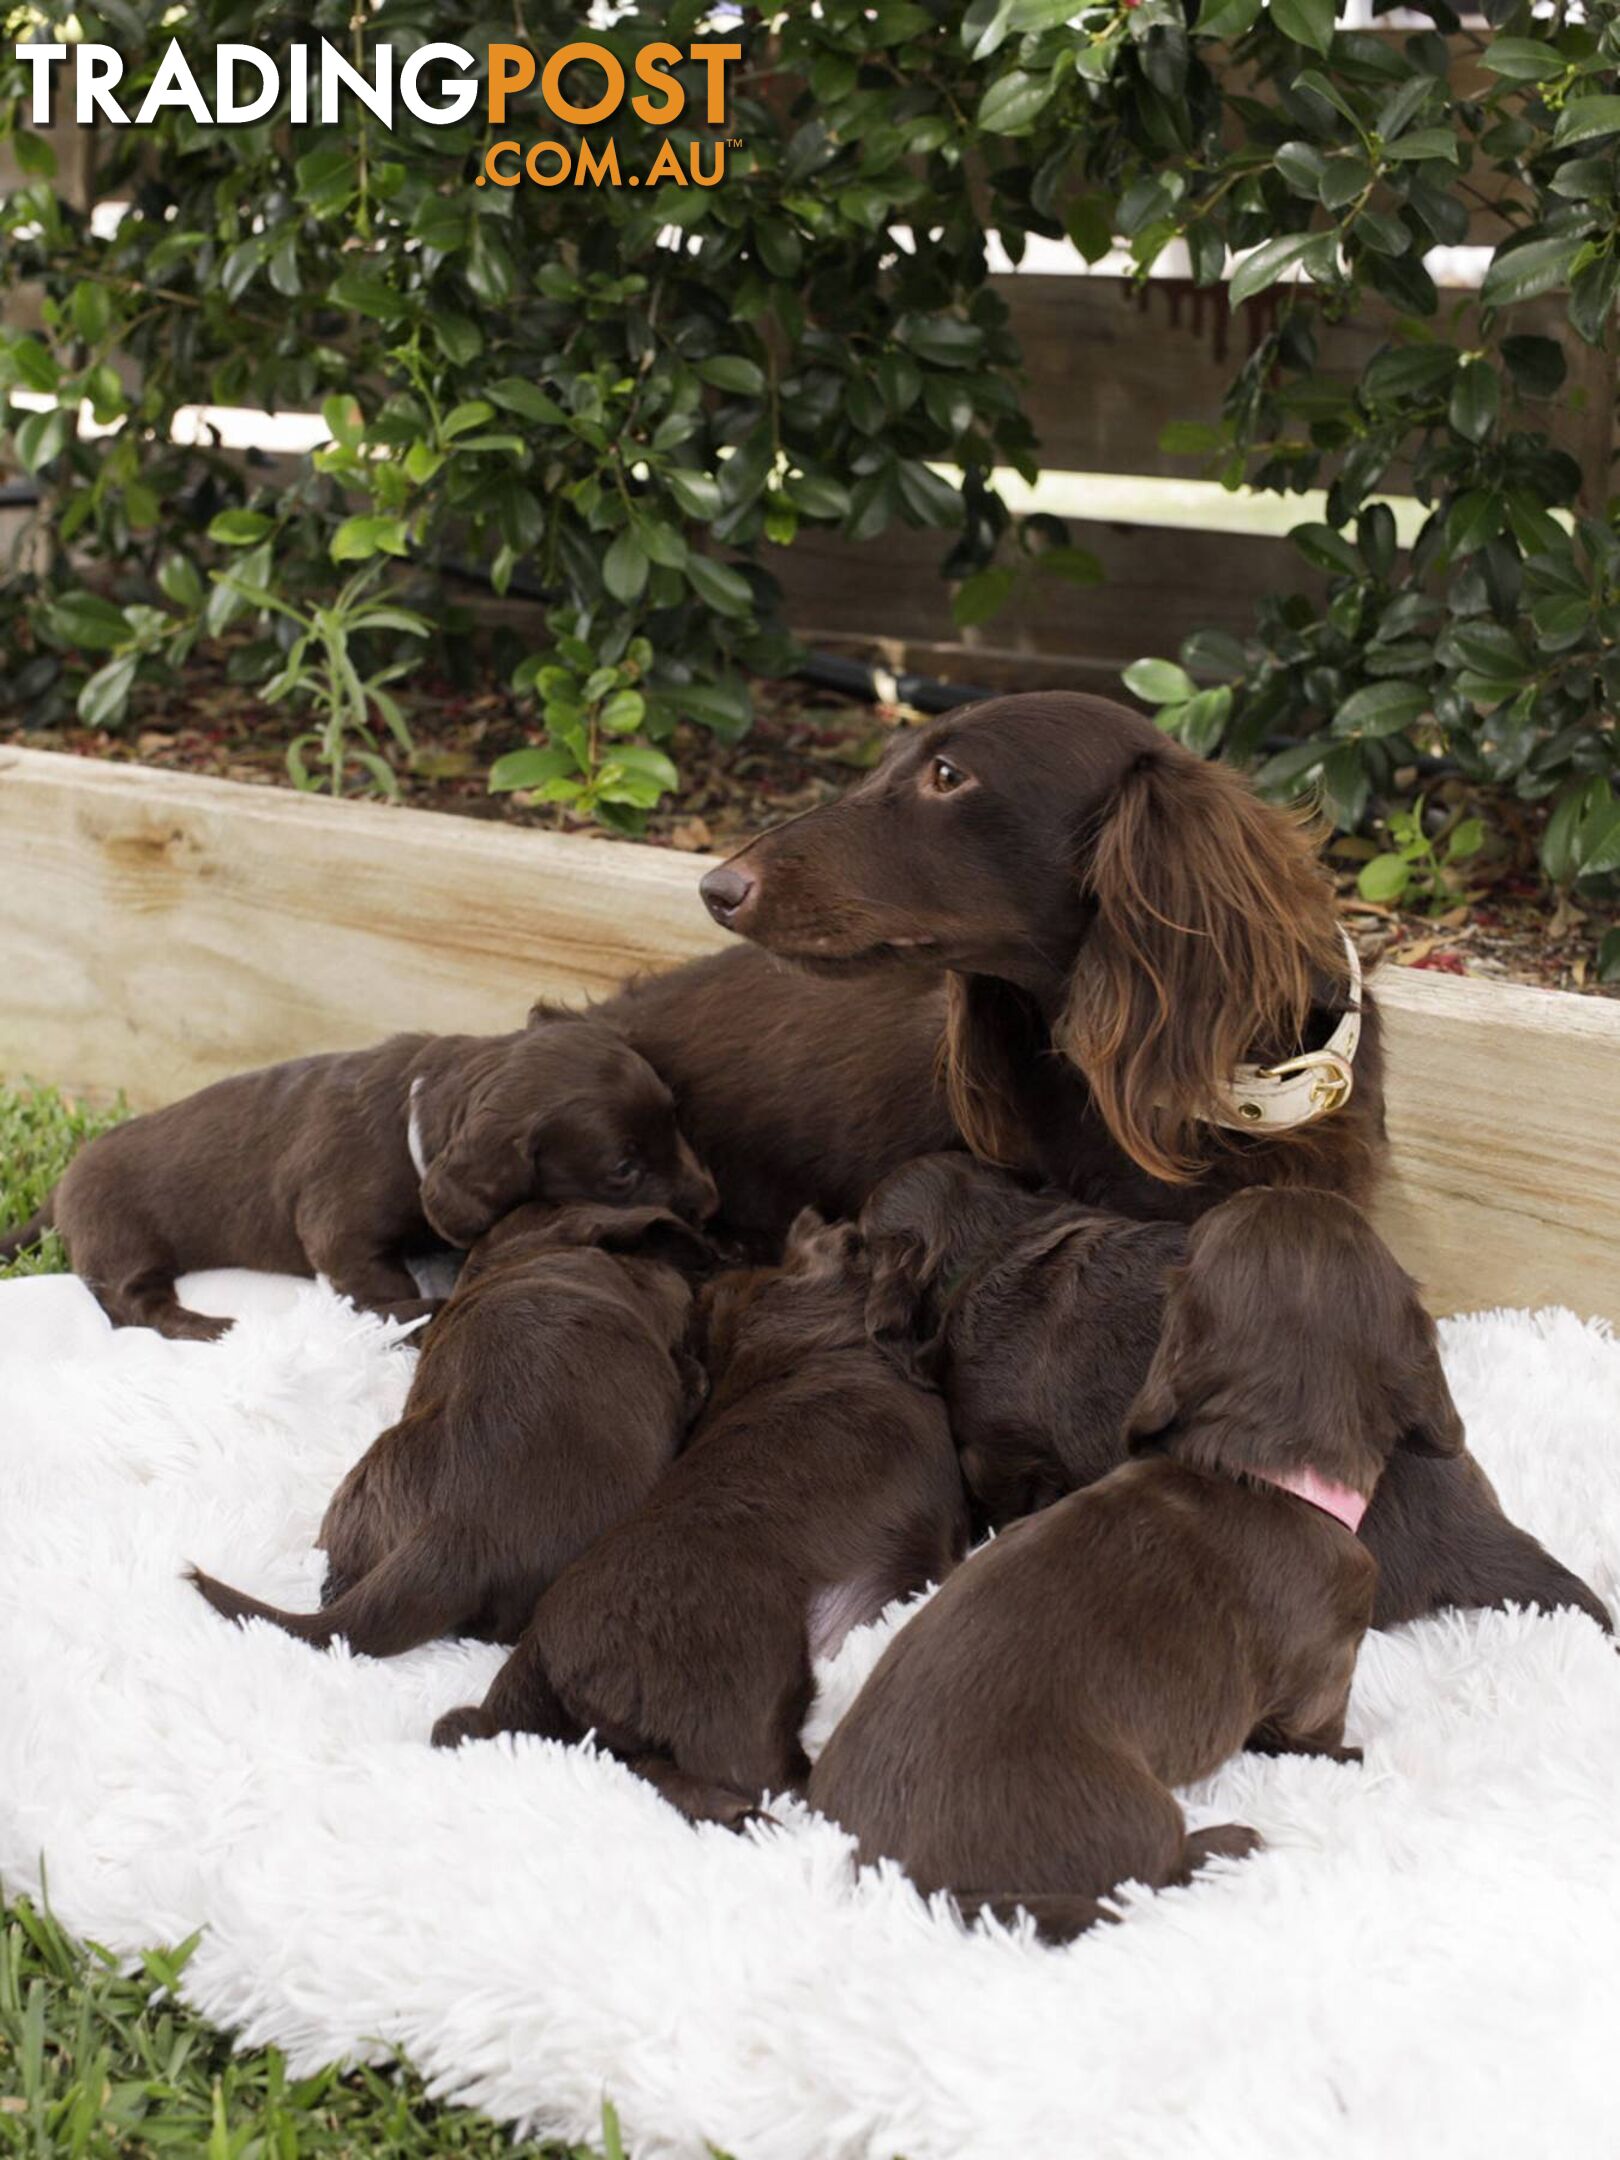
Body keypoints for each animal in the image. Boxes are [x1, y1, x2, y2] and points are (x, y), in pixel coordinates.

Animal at [0, 1006, 712, 1339]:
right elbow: (377, 1281)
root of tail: (62, 1185)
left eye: (678, 1119)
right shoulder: (342, 1229)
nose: (710, 1201)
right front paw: (409, 1308)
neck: (418, 1119)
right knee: (132, 1306)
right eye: (623, 1168)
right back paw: (207, 1326)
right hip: (123, 1238)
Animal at [432, 1209, 972, 1831]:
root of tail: (537, 1647)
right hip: (750, 1671)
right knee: (756, 1771)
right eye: (857, 1240)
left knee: (655, 1769)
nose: (909, 1233)